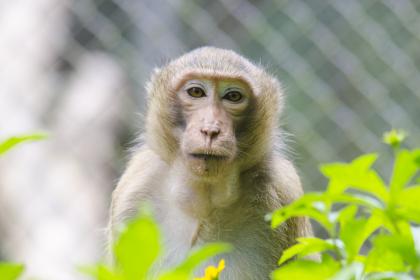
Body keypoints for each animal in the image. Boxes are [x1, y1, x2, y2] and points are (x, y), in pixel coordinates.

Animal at [108, 47, 312, 278]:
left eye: (233, 96)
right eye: (196, 92)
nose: (211, 130)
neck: (202, 200)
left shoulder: (284, 189)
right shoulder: (135, 187)